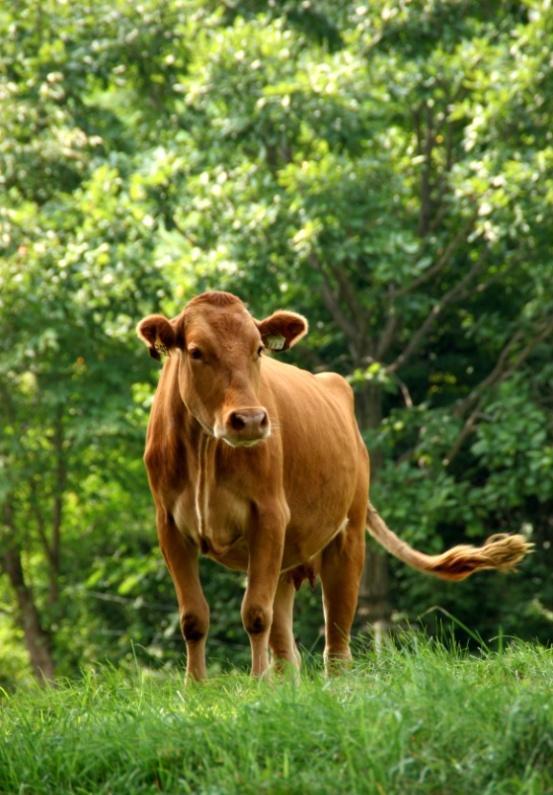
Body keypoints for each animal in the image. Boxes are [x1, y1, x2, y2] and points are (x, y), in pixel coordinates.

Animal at [137, 292, 532, 684]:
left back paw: (333, 684)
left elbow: (256, 612)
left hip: (348, 535)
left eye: (258, 349)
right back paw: (284, 684)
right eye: (196, 351)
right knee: (286, 643)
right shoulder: (169, 524)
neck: (205, 451)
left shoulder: (268, 514)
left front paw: (256, 685)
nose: (249, 420)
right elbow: (193, 617)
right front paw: (195, 687)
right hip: (287, 553)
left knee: (337, 634)